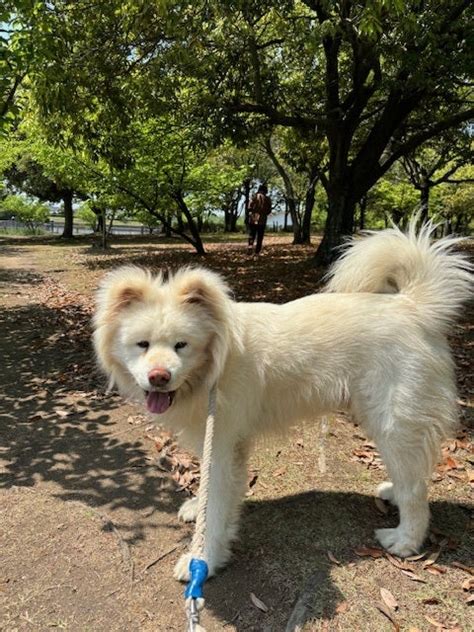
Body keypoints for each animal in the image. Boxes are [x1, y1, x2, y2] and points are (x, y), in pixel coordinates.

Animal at [91, 221, 470, 576]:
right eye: (142, 345)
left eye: (181, 345)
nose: (159, 377)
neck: (215, 363)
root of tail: (412, 306)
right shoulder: (218, 442)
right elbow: (212, 493)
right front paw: (199, 509)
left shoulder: (223, 445)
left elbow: (215, 510)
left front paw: (203, 561)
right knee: (411, 477)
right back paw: (392, 493)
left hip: (393, 423)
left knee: (415, 489)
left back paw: (405, 540)